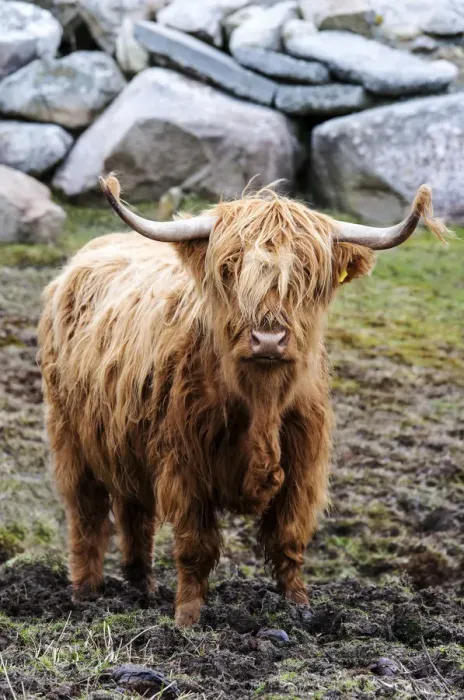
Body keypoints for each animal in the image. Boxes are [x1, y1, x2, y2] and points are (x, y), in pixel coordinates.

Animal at [38, 176, 447, 626]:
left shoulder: (303, 465)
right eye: (229, 270)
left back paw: (142, 586)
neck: (261, 403)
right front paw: (187, 620)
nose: (268, 339)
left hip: (126, 439)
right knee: (87, 515)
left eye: (307, 274)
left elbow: (289, 540)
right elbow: (195, 547)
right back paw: (85, 594)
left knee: (134, 512)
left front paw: (299, 609)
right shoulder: (184, 465)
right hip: (70, 437)